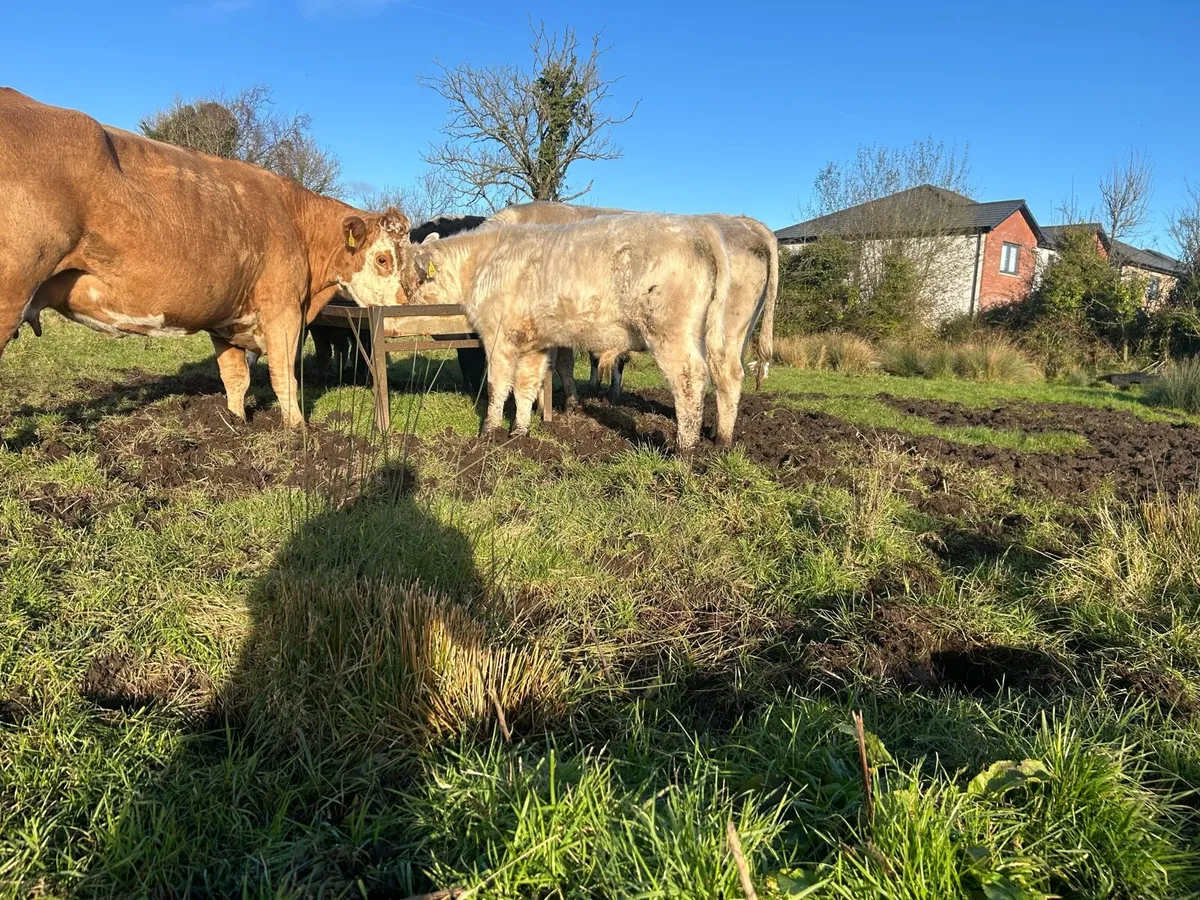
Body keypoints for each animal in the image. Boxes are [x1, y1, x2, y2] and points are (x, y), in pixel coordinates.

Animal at [0, 89, 414, 426]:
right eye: (383, 259)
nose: (402, 307)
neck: (296, 221)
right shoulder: (283, 309)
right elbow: (283, 374)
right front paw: (298, 430)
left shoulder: (226, 319)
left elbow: (236, 377)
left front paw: (234, 422)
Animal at [411, 213, 733, 450]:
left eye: (412, 277)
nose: (408, 303)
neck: (484, 262)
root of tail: (695, 226)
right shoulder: (534, 343)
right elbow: (525, 386)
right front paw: (519, 433)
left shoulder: (498, 337)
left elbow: (497, 386)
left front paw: (489, 433)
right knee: (725, 373)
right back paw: (721, 440)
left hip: (670, 331)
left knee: (690, 379)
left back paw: (684, 449)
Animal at [480, 201, 778, 417]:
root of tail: (744, 221)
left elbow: (559, 366)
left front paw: (562, 405)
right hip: (740, 333)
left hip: (723, 329)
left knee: (726, 375)